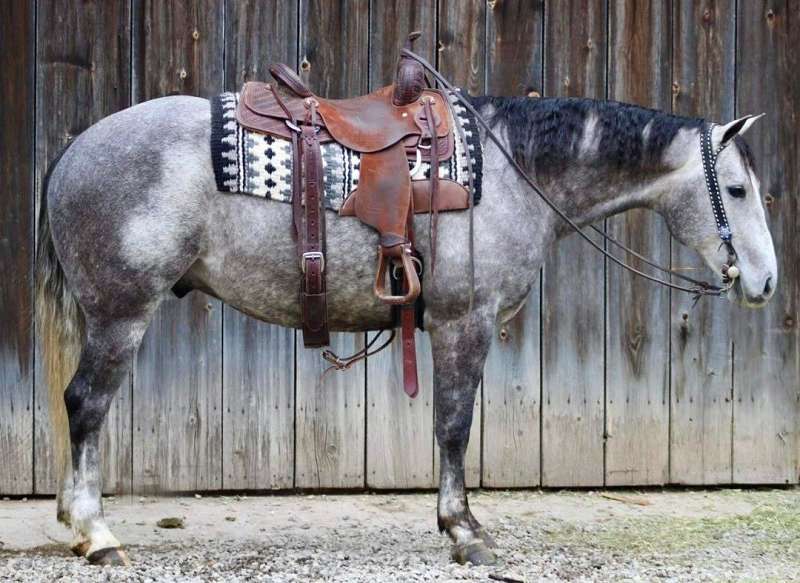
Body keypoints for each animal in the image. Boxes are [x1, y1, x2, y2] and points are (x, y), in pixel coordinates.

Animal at [37, 90, 776, 566]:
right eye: (737, 190)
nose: (766, 283)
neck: (510, 175)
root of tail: (74, 149)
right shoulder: (462, 323)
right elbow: (454, 425)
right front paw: (464, 531)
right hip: (121, 314)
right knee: (87, 405)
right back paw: (96, 534)